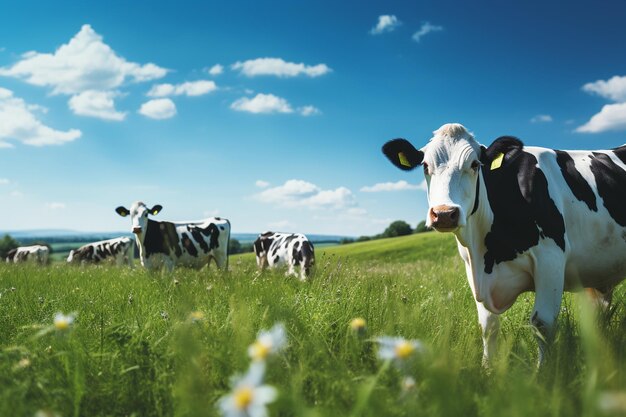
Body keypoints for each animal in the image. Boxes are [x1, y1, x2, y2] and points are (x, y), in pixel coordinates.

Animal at [380, 122, 624, 364]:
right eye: (425, 166)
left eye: (475, 164)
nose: (444, 214)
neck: (484, 251)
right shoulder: (471, 268)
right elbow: (488, 327)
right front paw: (487, 369)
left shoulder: (551, 258)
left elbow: (542, 324)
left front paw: (543, 372)